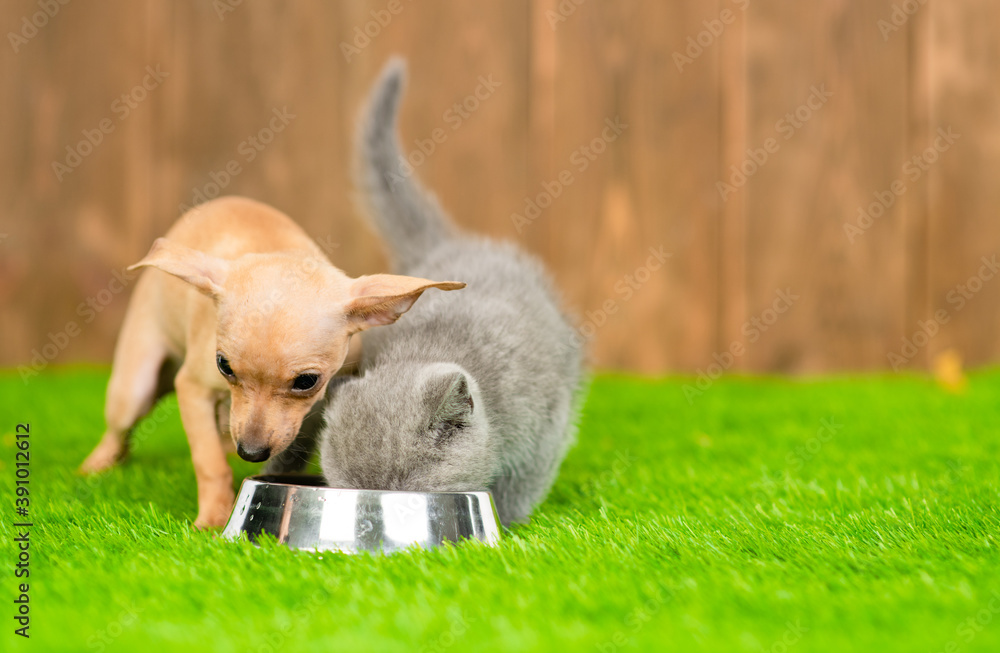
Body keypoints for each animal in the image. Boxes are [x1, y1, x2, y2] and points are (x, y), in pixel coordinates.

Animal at [81, 196, 464, 528]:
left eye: (307, 382)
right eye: (224, 366)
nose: (250, 453)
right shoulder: (192, 388)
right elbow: (209, 463)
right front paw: (213, 518)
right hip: (135, 387)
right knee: (120, 427)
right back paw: (98, 463)